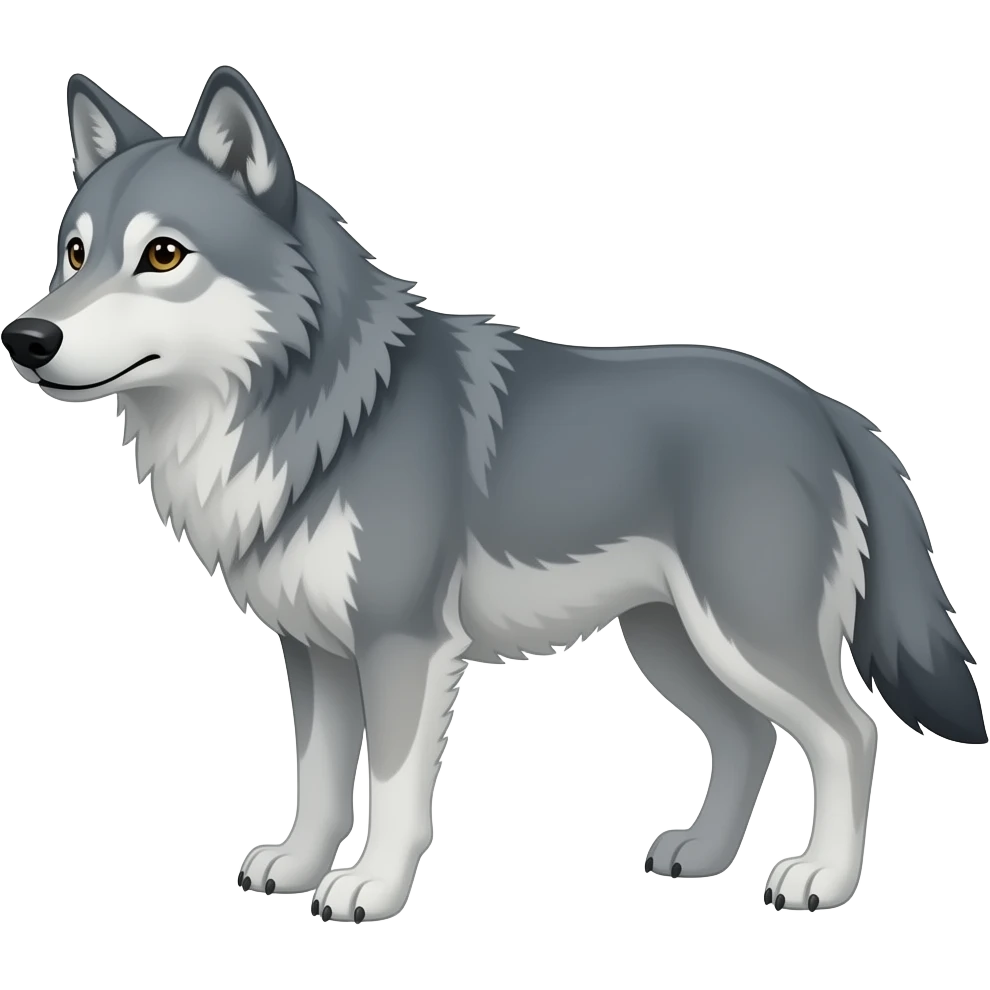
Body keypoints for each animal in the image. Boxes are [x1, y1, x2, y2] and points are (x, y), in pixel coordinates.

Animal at [2, 67, 985, 925]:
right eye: (74, 254)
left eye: (163, 255)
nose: (27, 338)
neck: (327, 414)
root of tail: (822, 405)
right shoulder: (314, 653)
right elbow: (317, 779)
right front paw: (298, 866)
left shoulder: (404, 646)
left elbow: (392, 786)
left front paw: (370, 890)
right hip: (673, 644)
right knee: (749, 739)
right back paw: (702, 856)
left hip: (745, 637)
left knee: (849, 734)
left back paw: (823, 879)